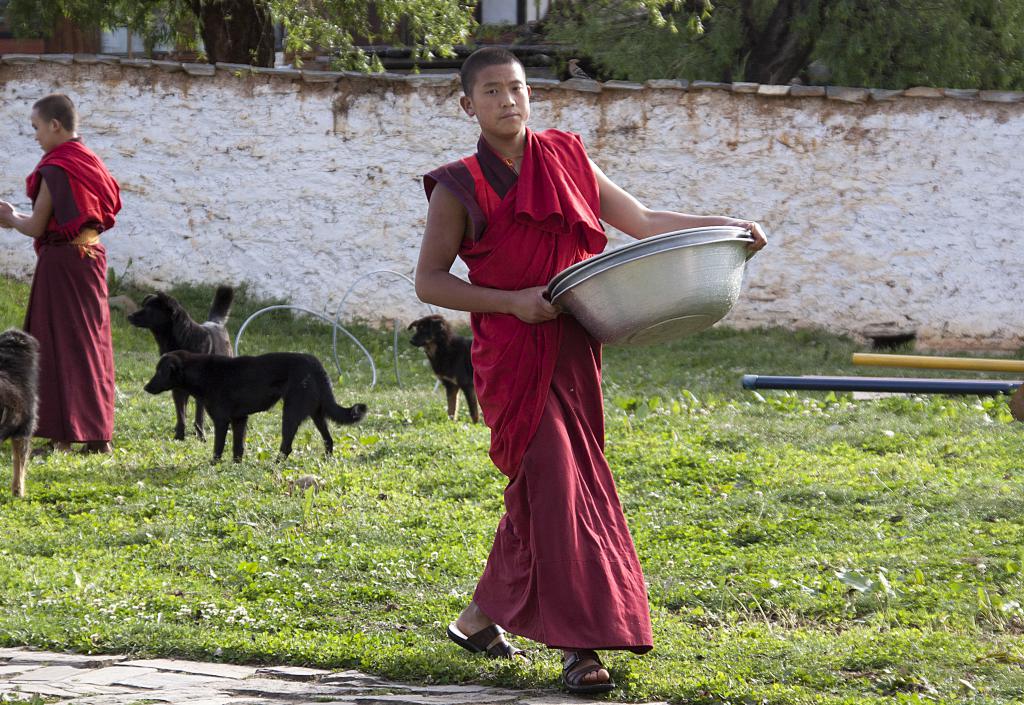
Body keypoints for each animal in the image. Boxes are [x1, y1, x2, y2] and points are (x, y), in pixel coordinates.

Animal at [128, 282, 234, 438]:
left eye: (148, 309)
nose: (129, 316)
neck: (182, 339)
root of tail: (215, 322)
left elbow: (199, 416)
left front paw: (201, 436)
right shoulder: (176, 387)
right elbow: (181, 414)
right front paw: (179, 436)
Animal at [143, 348, 368, 459]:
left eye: (160, 371)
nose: (145, 387)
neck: (202, 372)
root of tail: (316, 364)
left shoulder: (221, 421)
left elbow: (218, 448)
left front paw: (214, 465)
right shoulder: (240, 419)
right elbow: (238, 449)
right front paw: (235, 468)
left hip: (291, 412)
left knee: (287, 447)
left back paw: (275, 465)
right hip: (317, 413)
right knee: (329, 440)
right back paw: (326, 460)